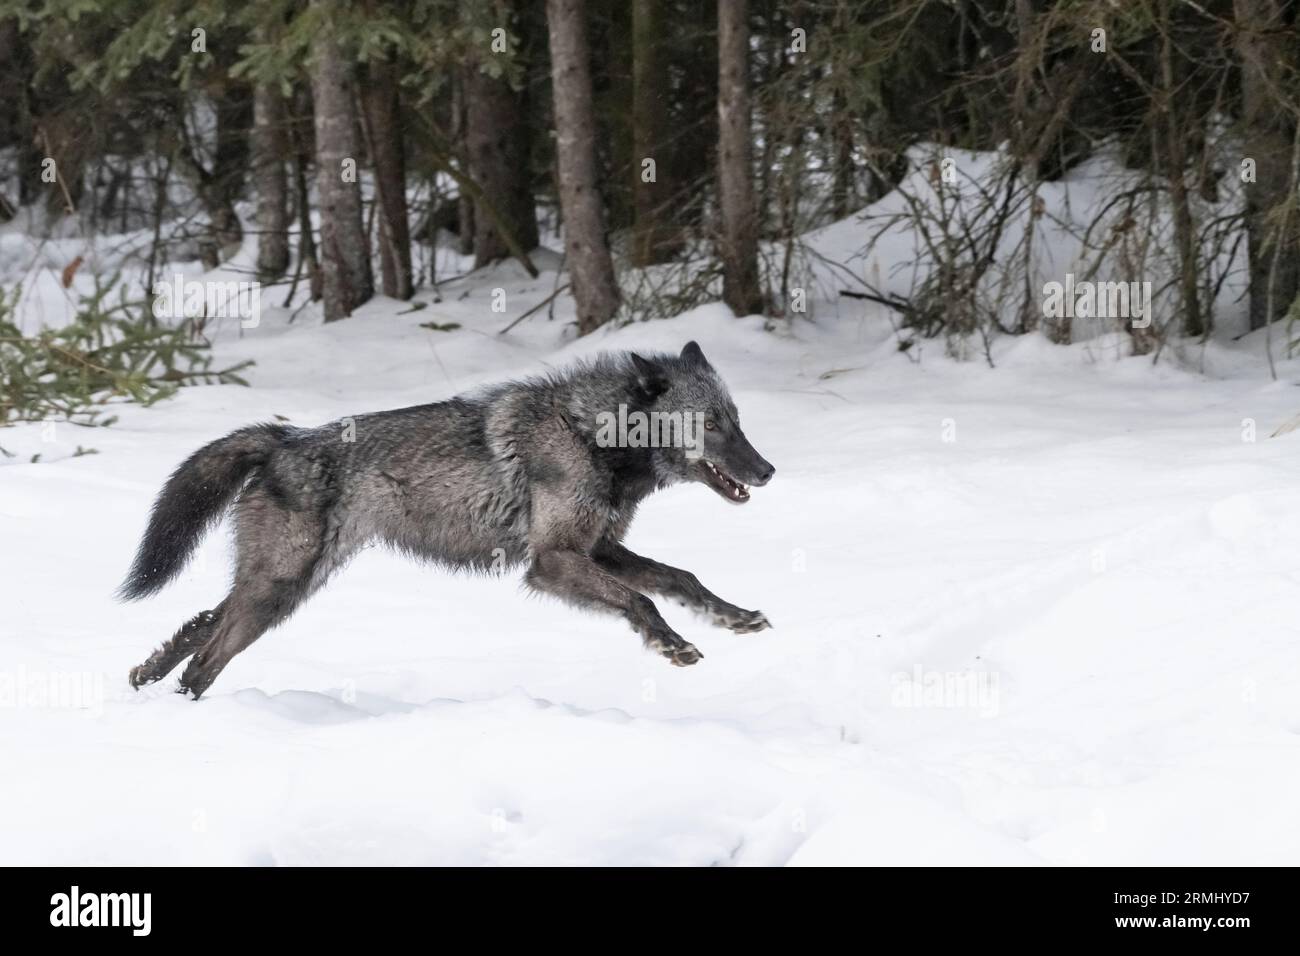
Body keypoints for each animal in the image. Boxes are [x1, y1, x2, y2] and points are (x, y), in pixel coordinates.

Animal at [122, 340, 769, 697]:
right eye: (710, 424)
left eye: (736, 419)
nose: (767, 471)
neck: (591, 435)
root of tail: (283, 437)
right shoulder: (553, 562)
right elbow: (643, 601)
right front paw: (673, 646)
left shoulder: (599, 551)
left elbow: (681, 578)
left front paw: (734, 617)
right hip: (279, 588)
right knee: (206, 659)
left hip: (282, 587)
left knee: (201, 624)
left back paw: (144, 678)